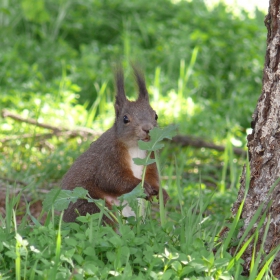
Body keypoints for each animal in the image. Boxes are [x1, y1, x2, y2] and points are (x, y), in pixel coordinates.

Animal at [61, 65, 168, 223]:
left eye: (156, 115)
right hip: (93, 206)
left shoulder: (150, 156)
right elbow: (111, 179)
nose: (147, 128)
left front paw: (161, 192)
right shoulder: (109, 156)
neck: (135, 147)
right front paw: (141, 186)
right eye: (125, 119)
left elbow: (152, 175)